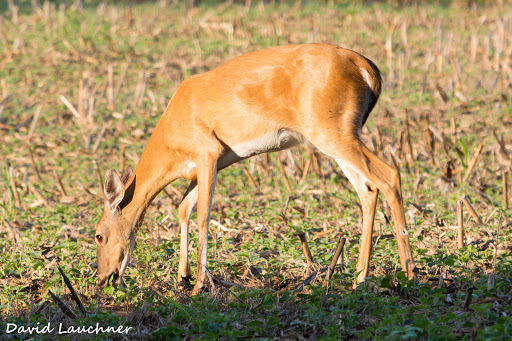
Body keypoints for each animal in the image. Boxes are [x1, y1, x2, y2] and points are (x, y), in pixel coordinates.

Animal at [95, 42, 416, 294]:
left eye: (98, 234)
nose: (103, 279)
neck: (173, 126)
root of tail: (365, 66)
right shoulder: (211, 163)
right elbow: (183, 208)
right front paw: (182, 278)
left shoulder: (207, 152)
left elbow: (203, 216)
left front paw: (199, 284)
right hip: (337, 138)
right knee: (367, 189)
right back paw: (360, 278)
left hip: (333, 133)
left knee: (390, 176)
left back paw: (410, 274)